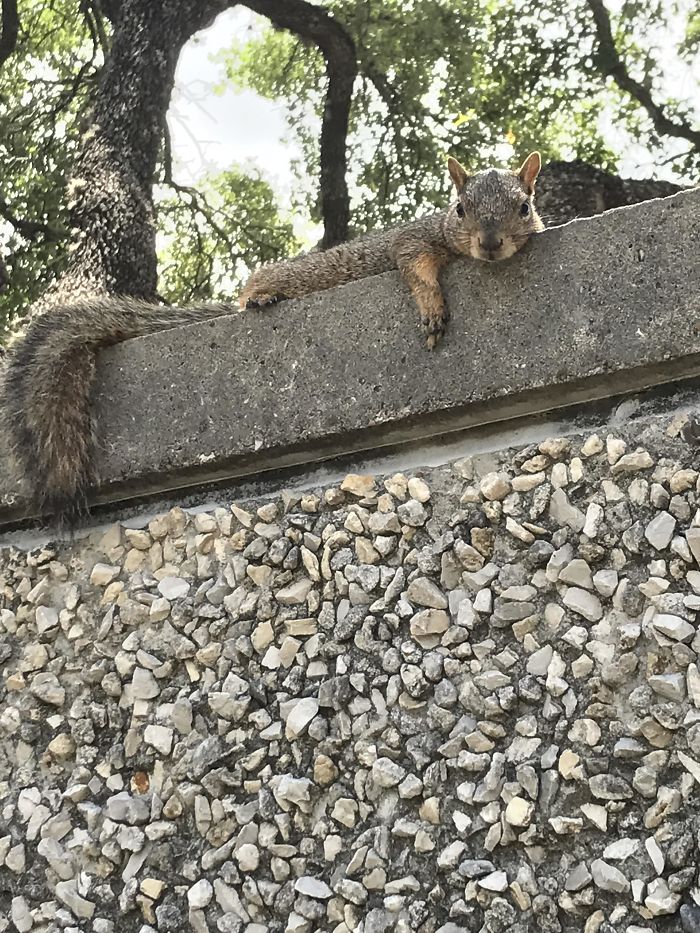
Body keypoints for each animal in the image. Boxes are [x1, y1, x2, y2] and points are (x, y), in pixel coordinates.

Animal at [241, 151, 544, 347]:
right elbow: (417, 271)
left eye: (524, 208)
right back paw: (260, 297)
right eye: (460, 209)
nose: (490, 243)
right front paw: (433, 308)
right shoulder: (412, 239)